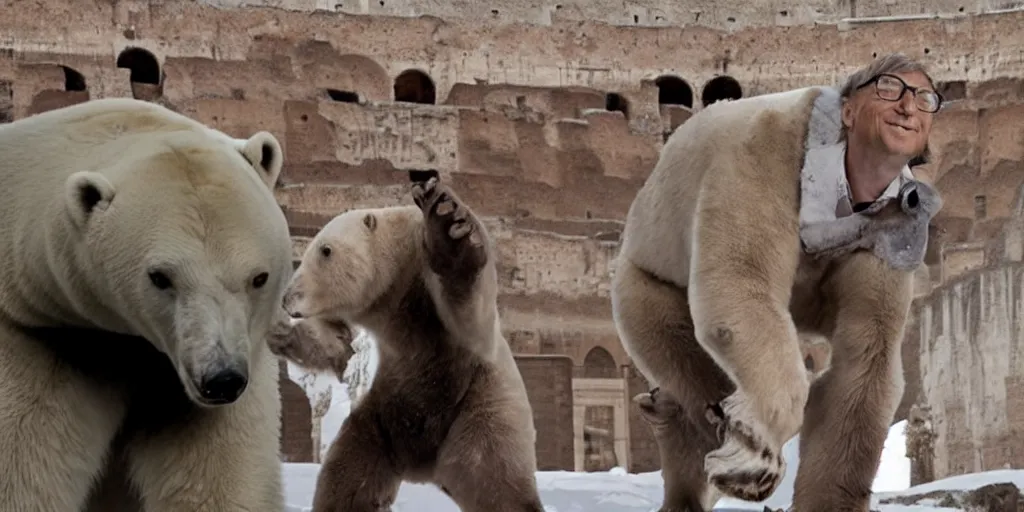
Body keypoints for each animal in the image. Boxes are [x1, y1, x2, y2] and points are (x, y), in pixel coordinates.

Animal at [0, 97, 296, 509]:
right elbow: (25, 458)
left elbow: (217, 470)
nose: (221, 380)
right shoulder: (43, 332)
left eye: (259, 277)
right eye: (160, 277)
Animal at [280, 175, 544, 512]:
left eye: (325, 250)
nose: (288, 297)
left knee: (499, 486)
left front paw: (446, 222)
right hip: (378, 425)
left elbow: (465, 300)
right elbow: (336, 344)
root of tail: (422, 468)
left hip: (481, 413)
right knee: (346, 485)